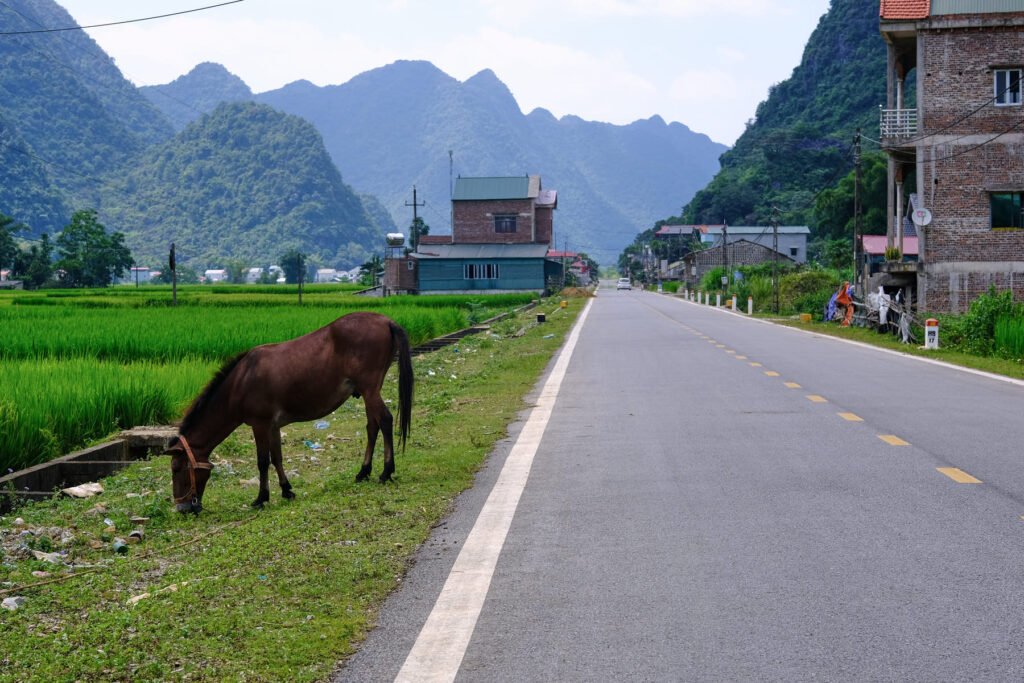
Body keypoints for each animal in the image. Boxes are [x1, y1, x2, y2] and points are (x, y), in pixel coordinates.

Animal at [167, 311, 411, 511]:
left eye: (176, 468)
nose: (183, 508)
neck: (241, 381)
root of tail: (386, 321)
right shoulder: (273, 426)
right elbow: (277, 458)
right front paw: (286, 490)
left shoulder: (260, 424)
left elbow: (262, 461)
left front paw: (261, 497)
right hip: (369, 392)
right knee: (372, 427)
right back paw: (363, 471)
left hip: (370, 390)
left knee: (385, 420)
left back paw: (386, 471)